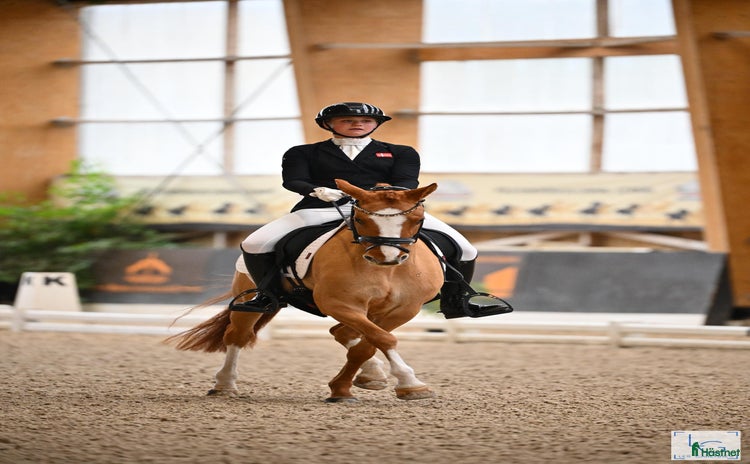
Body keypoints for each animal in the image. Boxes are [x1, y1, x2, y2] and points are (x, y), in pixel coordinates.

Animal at [167, 179, 444, 402]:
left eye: (416, 220)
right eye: (361, 219)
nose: (387, 257)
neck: (385, 272)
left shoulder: (405, 309)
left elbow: (371, 343)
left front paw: (346, 388)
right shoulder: (337, 303)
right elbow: (381, 339)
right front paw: (411, 383)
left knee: (343, 333)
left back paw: (371, 374)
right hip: (250, 301)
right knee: (237, 336)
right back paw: (224, 385)